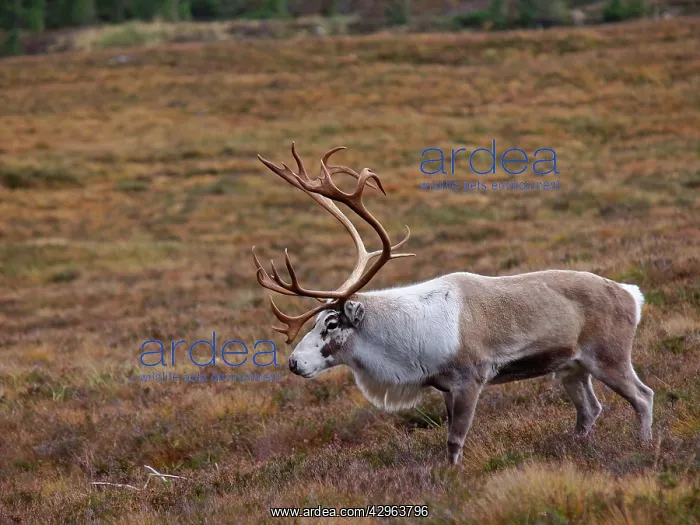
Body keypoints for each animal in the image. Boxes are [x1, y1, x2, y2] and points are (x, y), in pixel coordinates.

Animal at [251, 143, 654, 466]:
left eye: (332, 323)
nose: (293, 363)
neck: (406, 337)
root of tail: (630, 293)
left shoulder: (469, 379)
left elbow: (455, 441)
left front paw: (451, 477)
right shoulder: (444, 387)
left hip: (608, 356)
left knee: (643, 396)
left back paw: (645, 447)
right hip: (571, 367)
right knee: (590, 410)